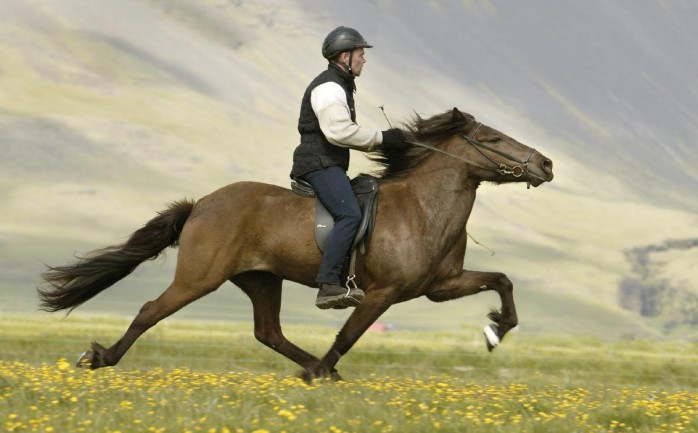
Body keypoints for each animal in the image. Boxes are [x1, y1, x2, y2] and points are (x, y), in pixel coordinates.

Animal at [39, 107, 556, 378]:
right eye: (493, 138)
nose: (546, 164)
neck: (423, 208)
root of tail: (201, 204)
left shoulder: (440, 286)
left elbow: (502, 281)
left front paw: (495, 331)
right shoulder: (382, 294)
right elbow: (347, 336)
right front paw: (322, 369)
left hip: (260, 279)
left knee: (268, 332)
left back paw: (314, 368)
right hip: (199, 278)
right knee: (150, 310)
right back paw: (101, 357)